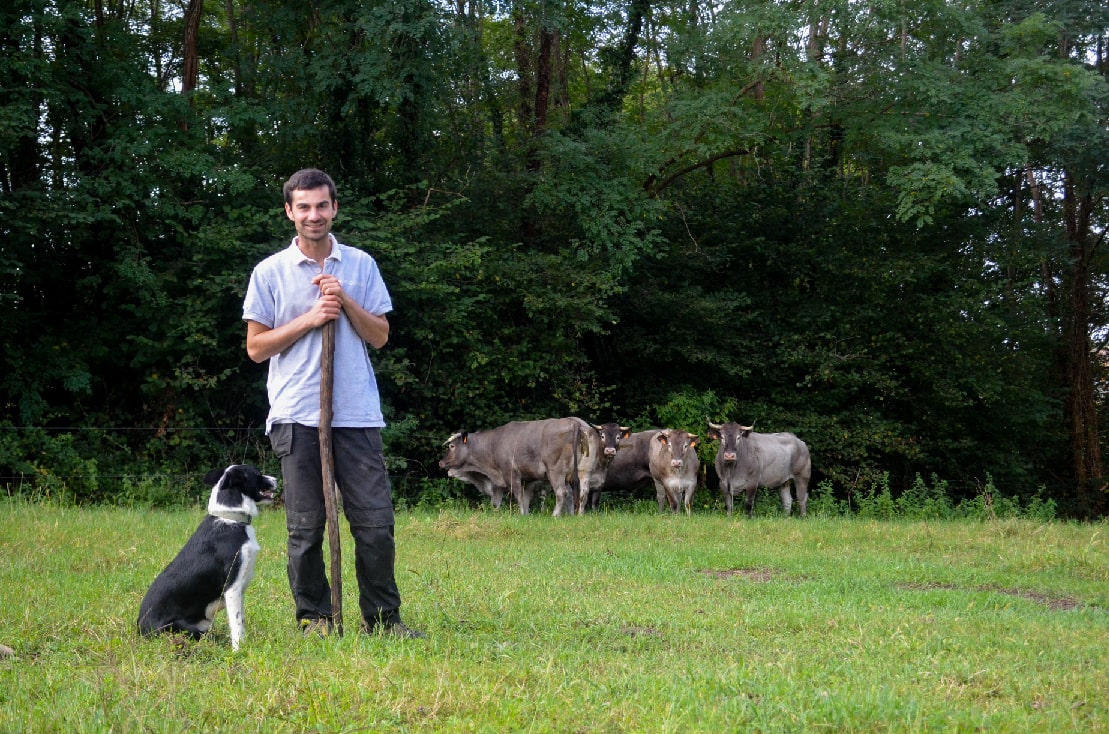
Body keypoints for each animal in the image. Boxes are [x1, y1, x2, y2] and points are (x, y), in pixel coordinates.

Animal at [135, 467, 275, 651]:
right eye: (258, 474)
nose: (276, 479)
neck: (231, 518)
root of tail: (140, 629)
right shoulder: (232, 586)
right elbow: (237, 625)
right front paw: (239, 650)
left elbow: (240, 621)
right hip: (188, 628)